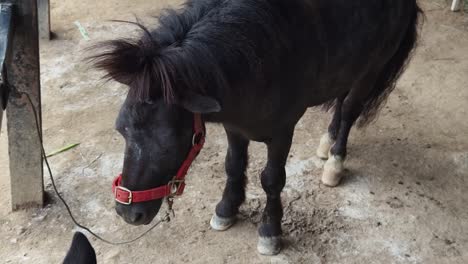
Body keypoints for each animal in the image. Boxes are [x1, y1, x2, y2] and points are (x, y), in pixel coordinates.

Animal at [89, 0, 422, 256]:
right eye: (121, 131)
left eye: (170, 141)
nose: (128, 213)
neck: (262, 54)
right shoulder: (235, 127)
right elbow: (233, 166)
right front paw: (226, 210)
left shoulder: (283, 131)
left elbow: (272, 180)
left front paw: (270, 231)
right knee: (340, 103)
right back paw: (326, 144)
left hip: (370, 70)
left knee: (350, 110)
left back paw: (335, 162)